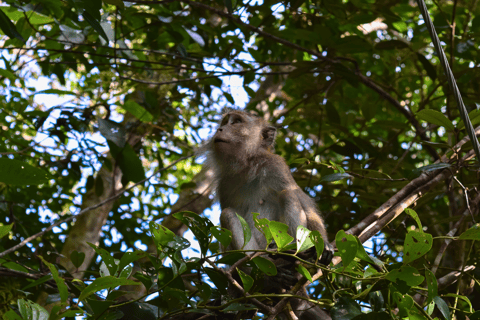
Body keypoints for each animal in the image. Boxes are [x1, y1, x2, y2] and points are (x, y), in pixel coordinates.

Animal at [199, 109, 334, 318]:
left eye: (236, 122)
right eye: (224, 123)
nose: (220, 129)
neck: (247, 164)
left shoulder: (276, 166)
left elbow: (303, 202)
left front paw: (324, 244)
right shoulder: (224, 185)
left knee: (288, 195)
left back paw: (294, 258)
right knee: (228, 214)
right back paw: (269, 277)